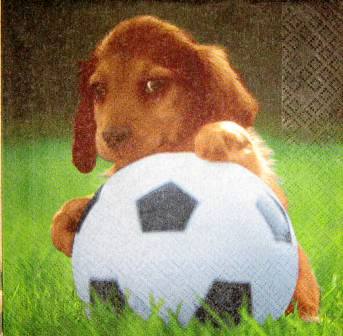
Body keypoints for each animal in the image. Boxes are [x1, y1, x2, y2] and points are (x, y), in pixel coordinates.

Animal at [52, 16, 322, 322]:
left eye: (154, 85)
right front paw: (66, 229)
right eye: (99, 90)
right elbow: (67, 212)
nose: (111, 136)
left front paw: (217, 136)